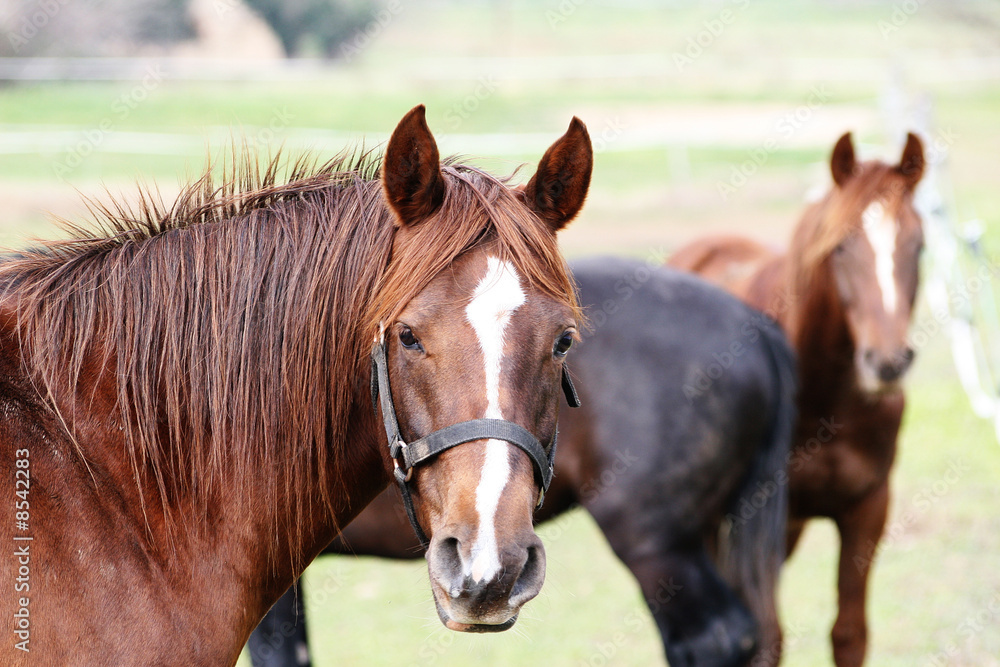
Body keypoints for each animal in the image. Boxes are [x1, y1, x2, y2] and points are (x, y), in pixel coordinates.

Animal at [669, 132, 925, 666]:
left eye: (919, 245)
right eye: (842, 246)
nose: (887, 363)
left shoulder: (868, 507)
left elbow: (849, 634)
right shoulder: (758, 520)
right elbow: (766, 639)